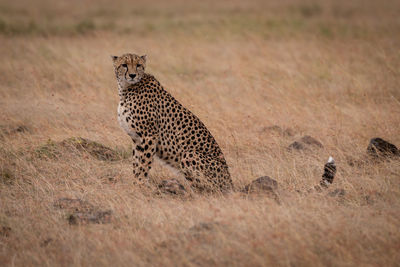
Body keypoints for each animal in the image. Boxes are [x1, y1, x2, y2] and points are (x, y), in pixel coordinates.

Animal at [111, 53, 233, 194]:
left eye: (138, 65)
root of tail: (230, 183)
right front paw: (136, 185)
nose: (132, 75)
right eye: (124, 65)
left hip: (189, 154)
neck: (126, 89)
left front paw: (140, 186)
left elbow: (143, 164)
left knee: (205, 191)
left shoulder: (149, 136)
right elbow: (136, 164)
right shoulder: (136, 138)